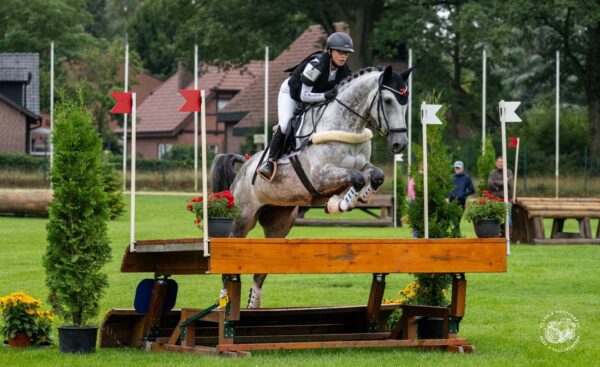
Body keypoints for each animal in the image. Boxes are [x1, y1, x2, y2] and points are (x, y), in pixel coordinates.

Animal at [211, 65, 412, 308]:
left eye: (406, 101)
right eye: (388, 100)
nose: (400, 144)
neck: (347, 126)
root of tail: (244, 167)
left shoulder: (362, 165)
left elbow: (376, 175)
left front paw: (362, 197)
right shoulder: (321, 175)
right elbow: (356, 178)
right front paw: (341, 204)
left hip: (279, 224)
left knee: (261, 273)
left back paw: (252, 306)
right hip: (242, 219)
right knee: (230, 258)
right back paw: (224, 302)